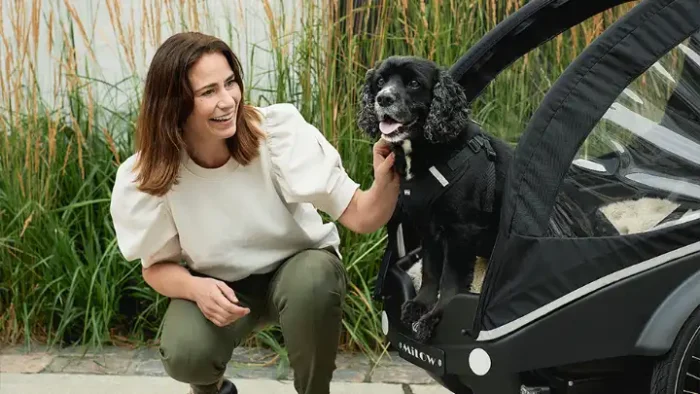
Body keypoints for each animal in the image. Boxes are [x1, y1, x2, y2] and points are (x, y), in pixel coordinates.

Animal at [356, 56, 516, 342]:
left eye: (414, 83)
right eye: (380, 81)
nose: (383, 99)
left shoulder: (461, 231)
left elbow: (451, 281)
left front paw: (435, 317)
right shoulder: (427, 227)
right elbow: (431, 271)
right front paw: (420, 304)